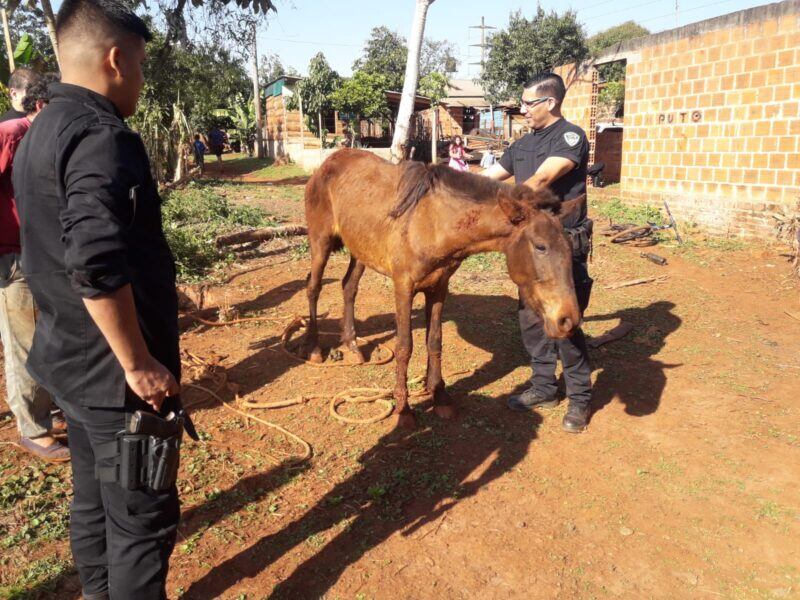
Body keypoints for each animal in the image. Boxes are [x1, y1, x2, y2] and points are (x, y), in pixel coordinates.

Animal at [304, 148, 580, 428]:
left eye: (570, 246)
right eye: (540, 246)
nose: (568, 320)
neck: (432, 224)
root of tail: (329, 162)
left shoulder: (438, 288)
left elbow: (434, 341)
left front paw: (439, 395)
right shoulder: (403, 288)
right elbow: (405, 347)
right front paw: (403, 410)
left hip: (359, 250)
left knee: (348, 287)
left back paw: (351, 345)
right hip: (320, 242)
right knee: (313, 287)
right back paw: (314, 349)